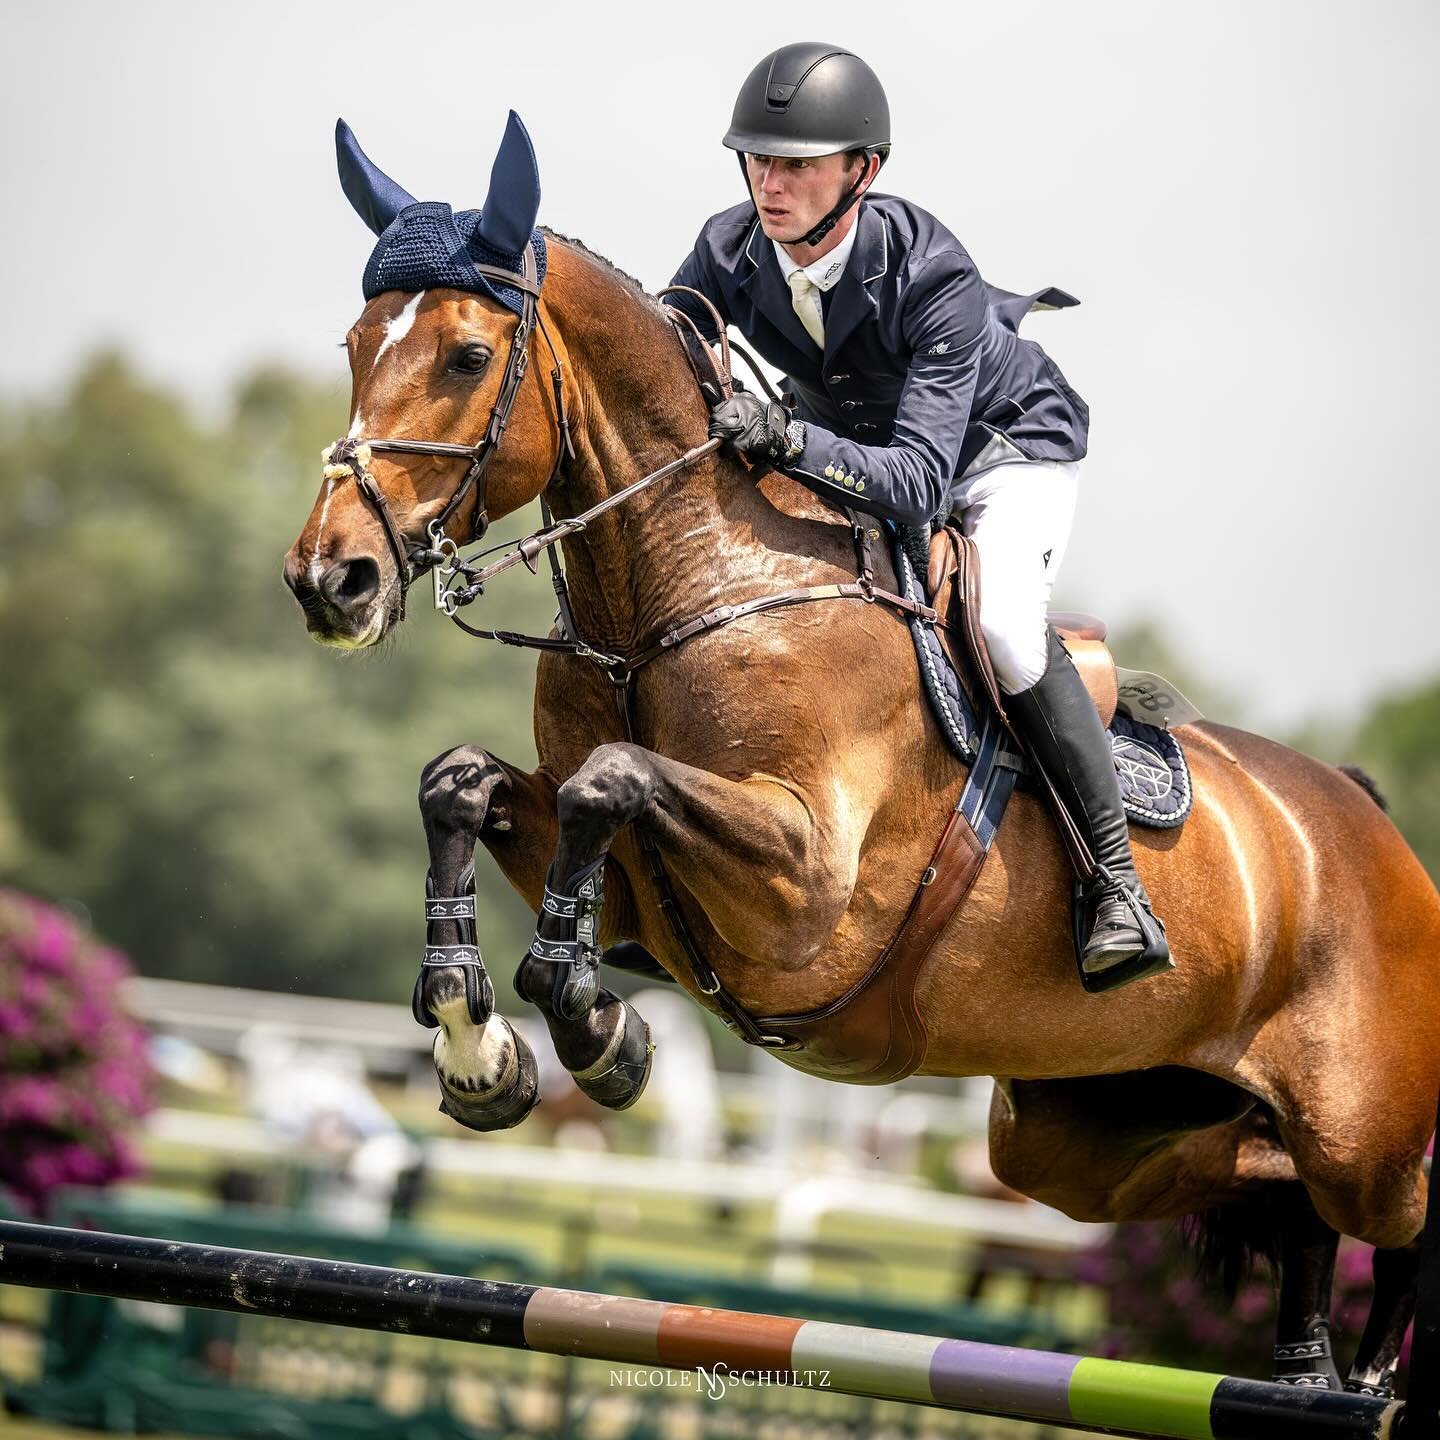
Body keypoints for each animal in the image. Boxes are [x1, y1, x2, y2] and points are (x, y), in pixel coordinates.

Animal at [283, 216, 1440, 1393]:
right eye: (356, 346)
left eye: (468, 357)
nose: (331, 578)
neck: (690, 592)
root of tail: (1367, 818)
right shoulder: (643, 894)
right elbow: (462, 784)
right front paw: (481, 1044)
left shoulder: (805, 890)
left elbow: (612, 777)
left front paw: (585, 1018)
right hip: (1087, 1137)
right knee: (1273, 1185)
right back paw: (1311, 1371)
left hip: (1360, 1137)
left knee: (1388, 1212)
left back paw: (1373, 1382)